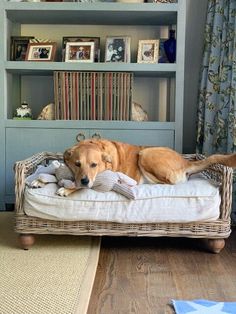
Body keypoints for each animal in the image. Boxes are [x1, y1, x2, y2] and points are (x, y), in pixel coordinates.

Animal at [60, 138, 236, 195]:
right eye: (77, 164)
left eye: (94, 165)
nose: (84, 181)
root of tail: (185, 161)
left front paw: (68, 189)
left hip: (145, 154)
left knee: (169, 183)